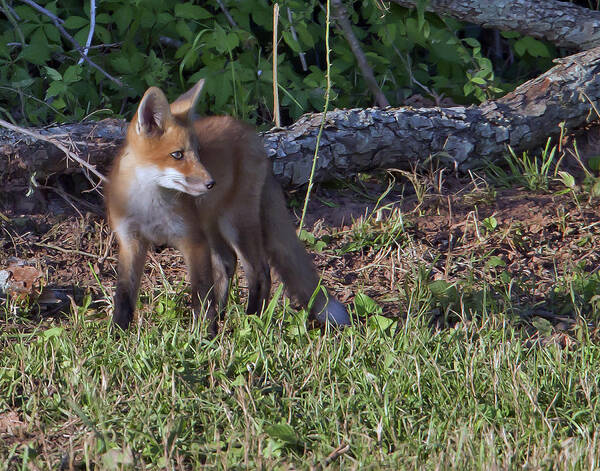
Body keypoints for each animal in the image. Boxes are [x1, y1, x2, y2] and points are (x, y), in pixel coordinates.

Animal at [106, 81, 352, 332]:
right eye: (177, 154)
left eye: (198, 152)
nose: (210, 183)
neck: (148, 208)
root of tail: (252, 135)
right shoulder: (130, 242)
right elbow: (124, 295)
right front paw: (118, 334)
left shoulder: (193, 240)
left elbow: (201, 295)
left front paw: (204, 334)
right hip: (212, 226)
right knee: (227, 263)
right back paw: (223, 317)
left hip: (235, 224)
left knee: (260, 272)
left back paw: (252, 319)